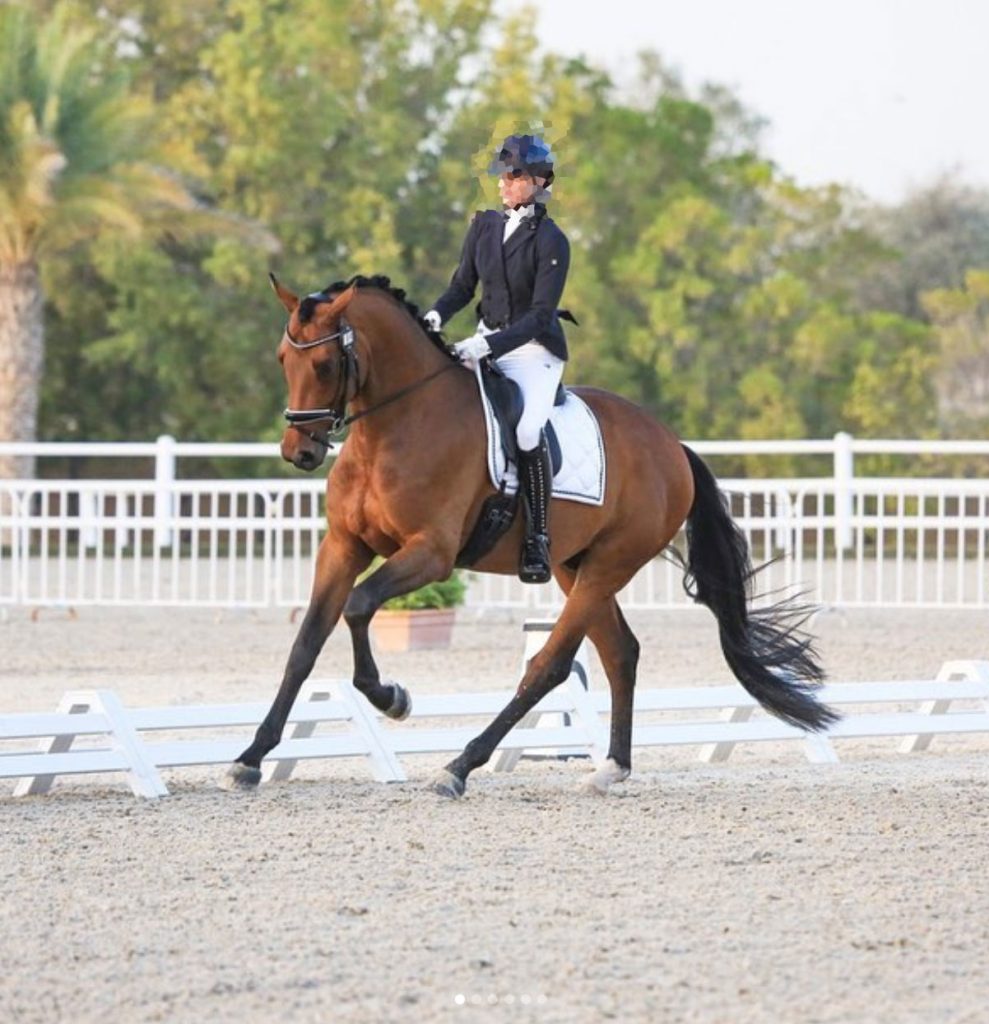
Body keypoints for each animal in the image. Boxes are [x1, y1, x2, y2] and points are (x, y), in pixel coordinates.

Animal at [224, 274, 835, 798]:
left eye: (326, 363)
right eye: (283, 359)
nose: (299, 453)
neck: (393, 428)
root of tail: (671, 445)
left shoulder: (431, 554)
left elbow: (357, 606)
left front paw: (391, 697)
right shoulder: (343, 547)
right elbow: (306, 643)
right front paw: (251, 757)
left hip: (610, 564)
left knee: (551, 665)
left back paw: (460, 766)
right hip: (573, 566)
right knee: (620, 652)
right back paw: (611, 768)